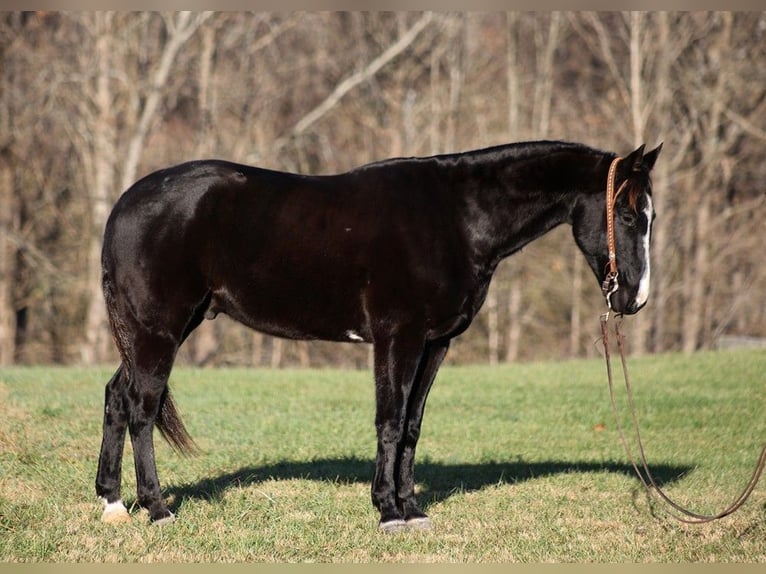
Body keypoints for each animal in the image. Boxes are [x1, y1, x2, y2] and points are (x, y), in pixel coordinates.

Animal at [94, 141, 660, 536]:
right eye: (629, 214)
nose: (635, 298)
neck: (455, 217)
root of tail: (125, 205)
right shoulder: (397, 337)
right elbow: (389, 421)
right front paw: (388, 513)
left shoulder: (435, 343)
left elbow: (411, 424)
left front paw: (412, 508)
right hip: (159, 329)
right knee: (142, 408)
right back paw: (157, 509)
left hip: (160, 330)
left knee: (117, 398)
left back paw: (112, 504)